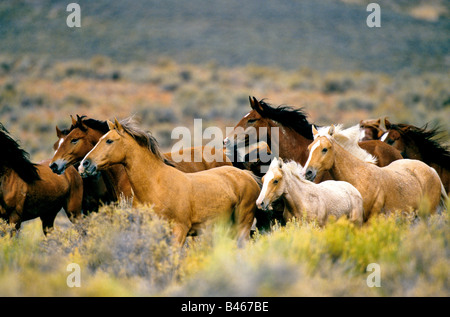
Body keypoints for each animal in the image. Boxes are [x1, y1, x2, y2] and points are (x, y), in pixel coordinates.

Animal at [78, 118, 260, 244]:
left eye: (109, 140)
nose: (84, 164)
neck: (155, 185)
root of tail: (246, 175)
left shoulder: (179, 230)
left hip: (242, 227)